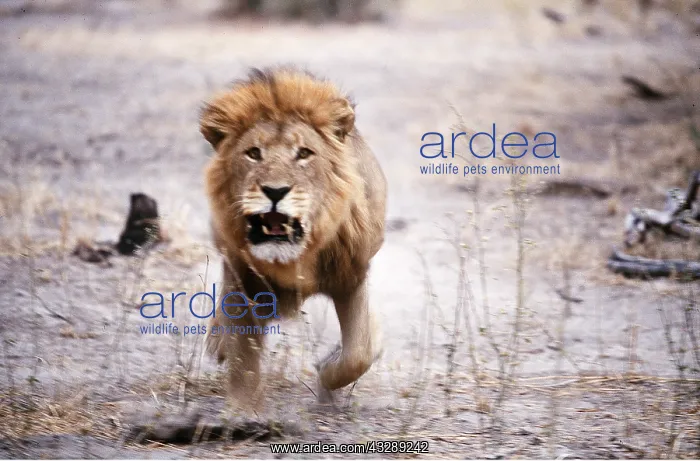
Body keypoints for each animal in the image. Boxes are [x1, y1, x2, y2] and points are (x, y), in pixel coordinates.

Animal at [199, 67, 387, 410]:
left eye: (304, 154)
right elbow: (244, 355)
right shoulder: (243, 276)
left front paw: (326, 375)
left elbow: (358, 353)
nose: (275, 191)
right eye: (253, 153)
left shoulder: (351, 276)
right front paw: (242, 411)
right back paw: (218, 342)